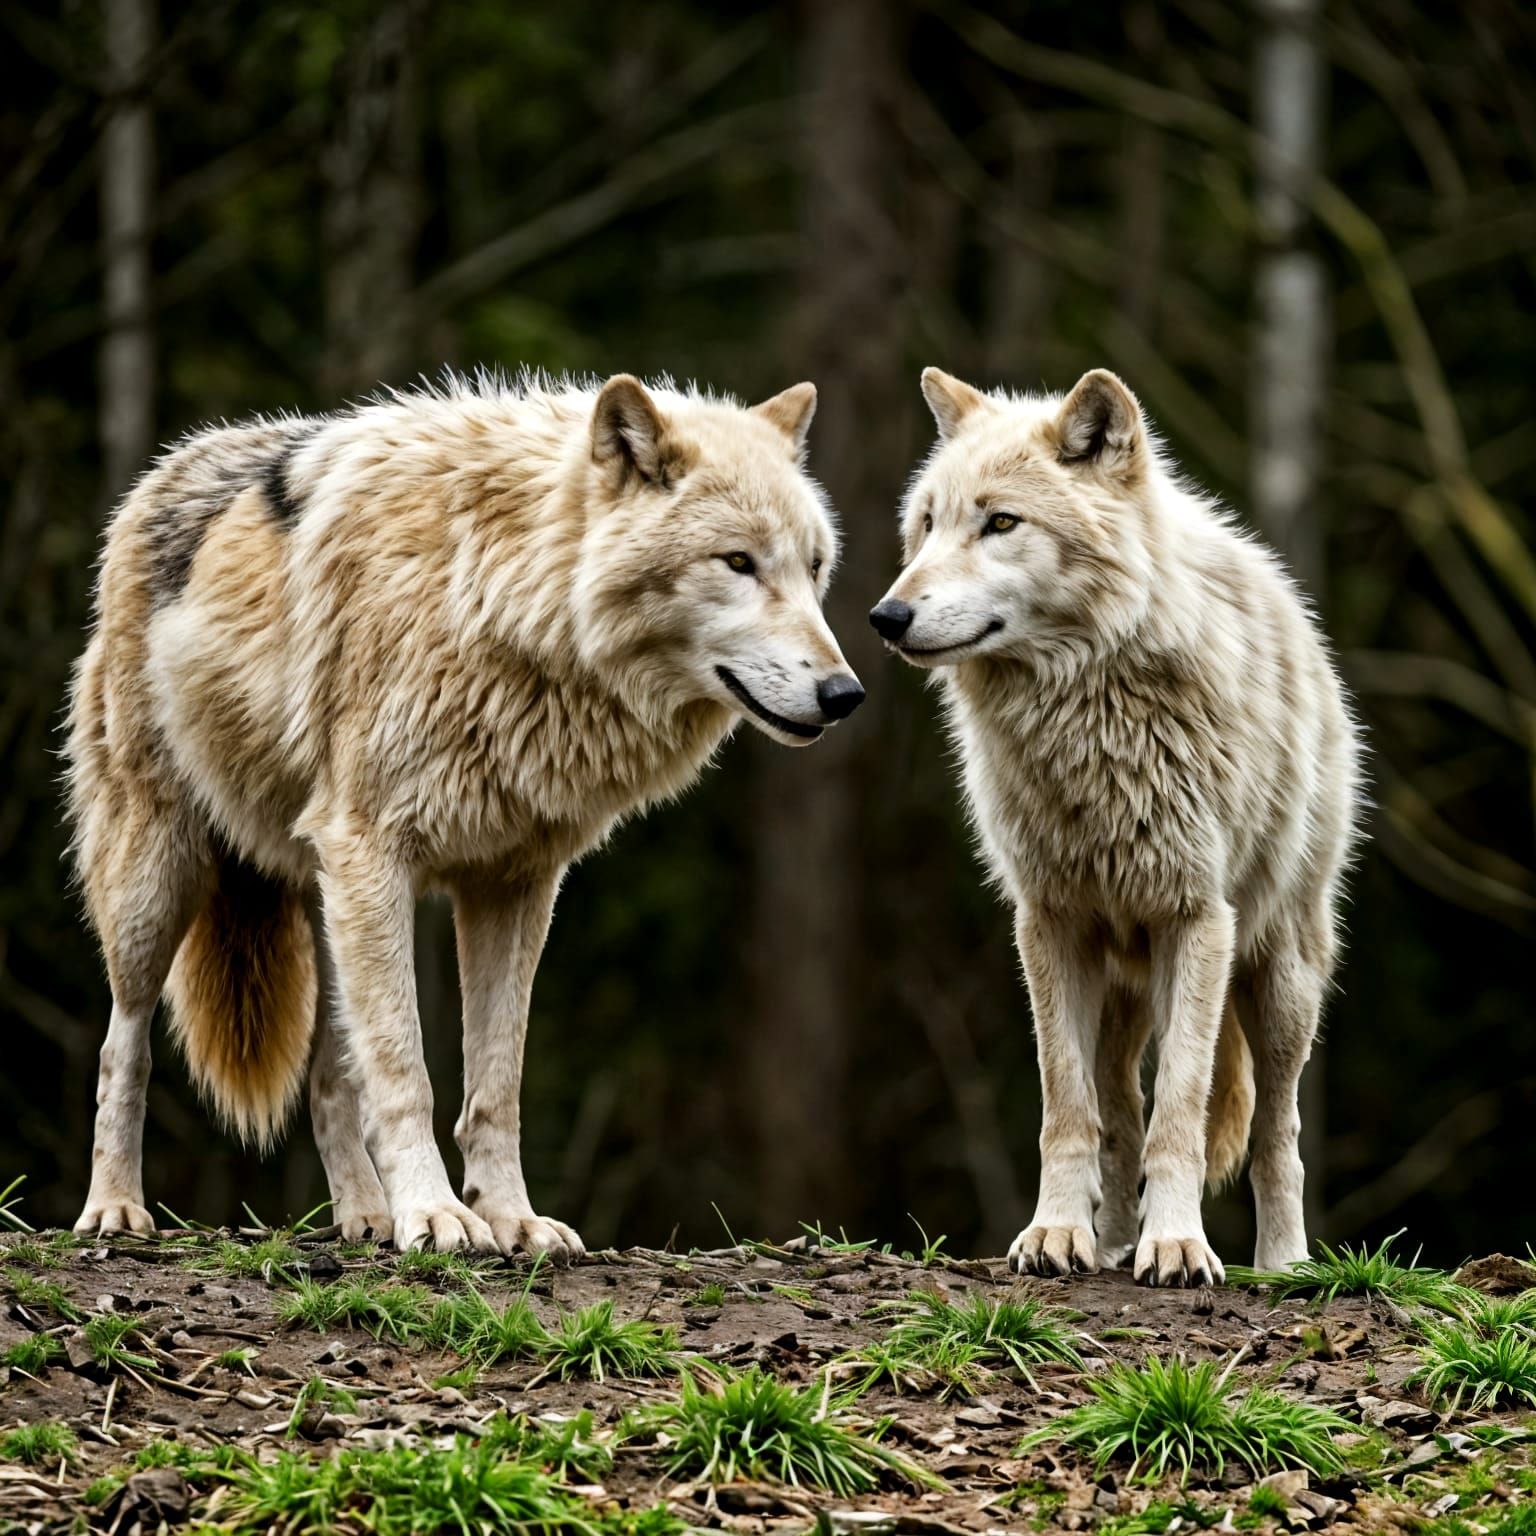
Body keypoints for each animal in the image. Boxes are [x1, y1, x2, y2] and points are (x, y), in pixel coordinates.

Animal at [67, 371, 864, 1254]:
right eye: (738, 563)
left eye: (814, 568)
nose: (845, 694)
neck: (498, 593)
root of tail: (167, 467)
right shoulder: (375, 850)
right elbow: (408, 1072)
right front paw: (439, 1214)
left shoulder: (513, 884)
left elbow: (495, 1084)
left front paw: (509, 1217)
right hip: (162, 883)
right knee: (123, 1048)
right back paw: (114, 1208)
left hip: (332, 906)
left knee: (330, 1080)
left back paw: (366, 1220)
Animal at [871, 367, 1360, 1286]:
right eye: (926, 524)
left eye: (1000, 522)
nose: (887, 616)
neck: (1084, 712)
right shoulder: (1050, 923)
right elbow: (1070, 1110)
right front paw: (1055, 1235)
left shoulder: (1196, 920)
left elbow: (1182, 1111)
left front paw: (1179, 1247)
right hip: (1121, 978)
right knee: (1120, 1108)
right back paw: (1106, 1246)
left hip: (1279, 977)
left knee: (1277, 1133)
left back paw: (1285, 1265)